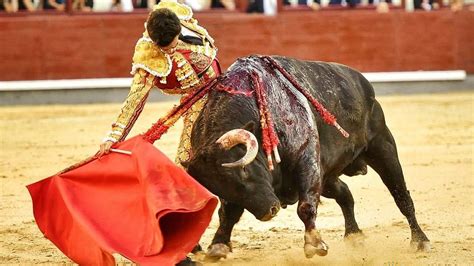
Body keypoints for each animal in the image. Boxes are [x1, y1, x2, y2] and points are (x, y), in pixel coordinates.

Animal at [184, 54, 430, 260]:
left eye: (244, 169)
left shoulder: (307, 160)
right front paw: (218, 245)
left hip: (382, 147)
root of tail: (361, 81)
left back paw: (420, 241)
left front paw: (314, 244)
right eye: (218, 187)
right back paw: (354, 235)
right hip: (328, 176)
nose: (269, 211)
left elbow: (305, 206)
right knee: (345, 194)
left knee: (401, 196)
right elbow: (229, 212)